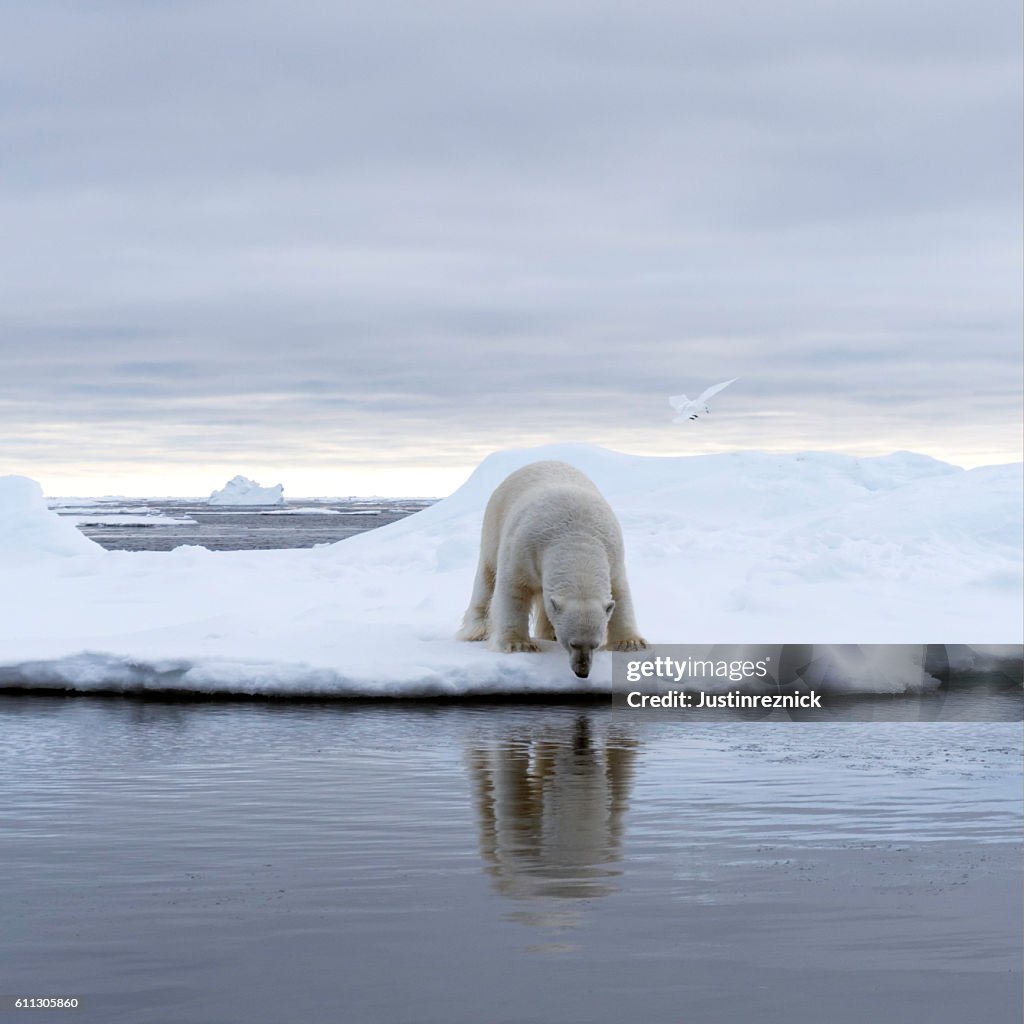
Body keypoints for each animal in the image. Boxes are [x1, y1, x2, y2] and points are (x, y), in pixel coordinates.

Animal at [458, 460, 643, 675]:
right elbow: (512, 590)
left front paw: (630, 643)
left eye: (595, 644)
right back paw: (478, 630)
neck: (576, 539)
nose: (582, 671)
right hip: (493, 525)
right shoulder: (523, 549)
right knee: (487, 578)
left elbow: (620, 594)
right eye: (572, 643)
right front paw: (519, 644)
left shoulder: (613, 554)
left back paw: (550, 633)